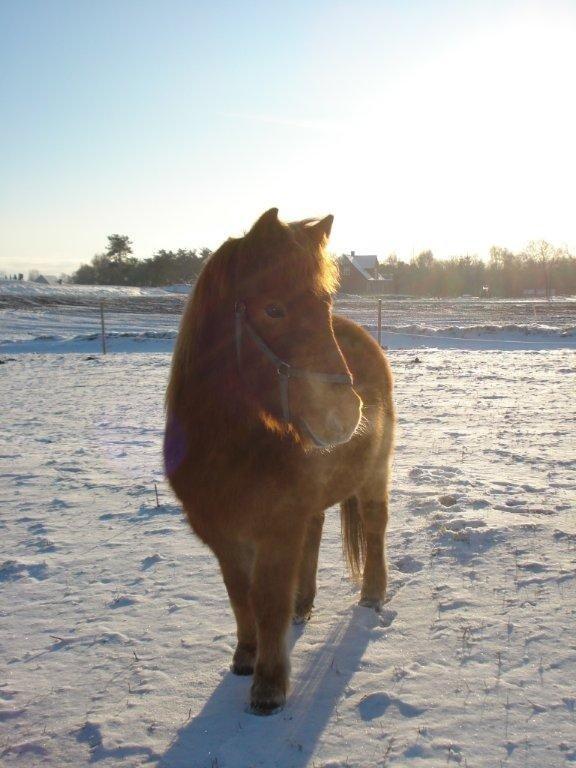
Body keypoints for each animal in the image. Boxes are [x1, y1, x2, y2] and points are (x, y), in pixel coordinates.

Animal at [164, 208, 394, 712]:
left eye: (324, 305)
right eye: (273, 309)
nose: (345, 412)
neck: (230, 448)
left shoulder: (276, 530)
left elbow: (267, 601)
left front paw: (269, 685)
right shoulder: (223, 536)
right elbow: (240, 597)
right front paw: (246, 656)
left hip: (374, 475)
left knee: (374, 527)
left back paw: (372, 595)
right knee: (316, 532)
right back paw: (304, 604)